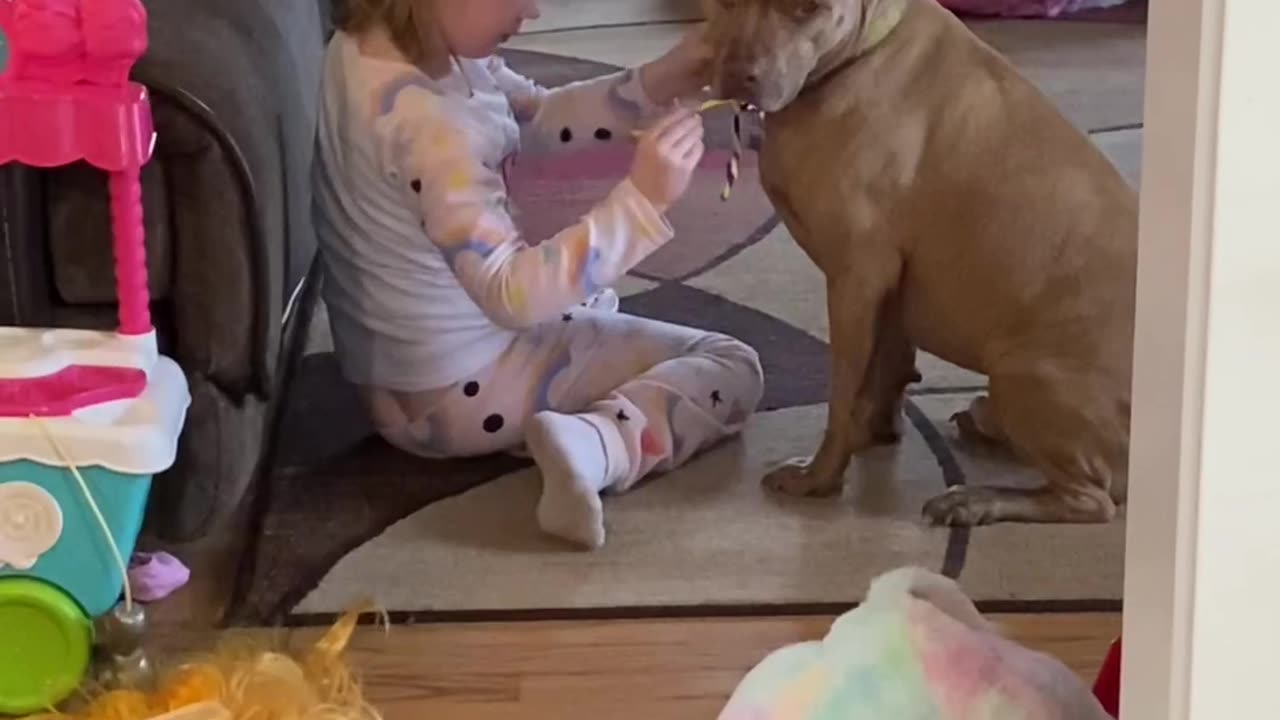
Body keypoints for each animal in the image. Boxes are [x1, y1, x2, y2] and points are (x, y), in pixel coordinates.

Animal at [706, 0, 1136, 525]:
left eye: (808, 10)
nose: (737, 74)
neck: (858, 55)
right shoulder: (889, 290)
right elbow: (884, 370)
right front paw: (875, 430)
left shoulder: (856, 279)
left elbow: (842, 394)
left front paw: (819, 477)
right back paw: (986, 428)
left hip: (1023, 373)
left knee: (1090, 499)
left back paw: (975, 500)